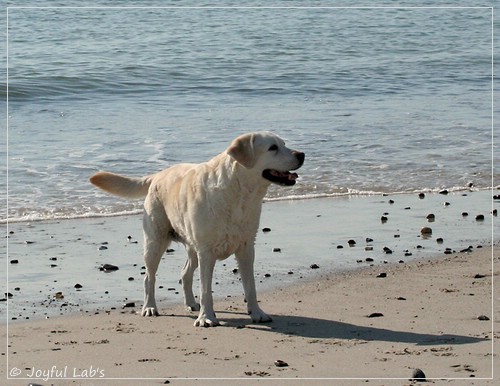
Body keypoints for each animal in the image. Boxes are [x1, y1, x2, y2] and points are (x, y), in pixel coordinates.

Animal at [90, 132, 304, 326]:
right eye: (273, 148)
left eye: (284, 144)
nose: (301, 154)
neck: (239, 193)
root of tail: (158, 175)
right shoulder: (207, 251)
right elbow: (206, 290)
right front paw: (206, 317)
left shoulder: (246, 247)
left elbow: (250, 286)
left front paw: (257, 313)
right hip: (155, 242)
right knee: (149, 278)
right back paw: (149, 307)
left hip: (192, 247)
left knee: (185, 273)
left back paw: (191, 303)